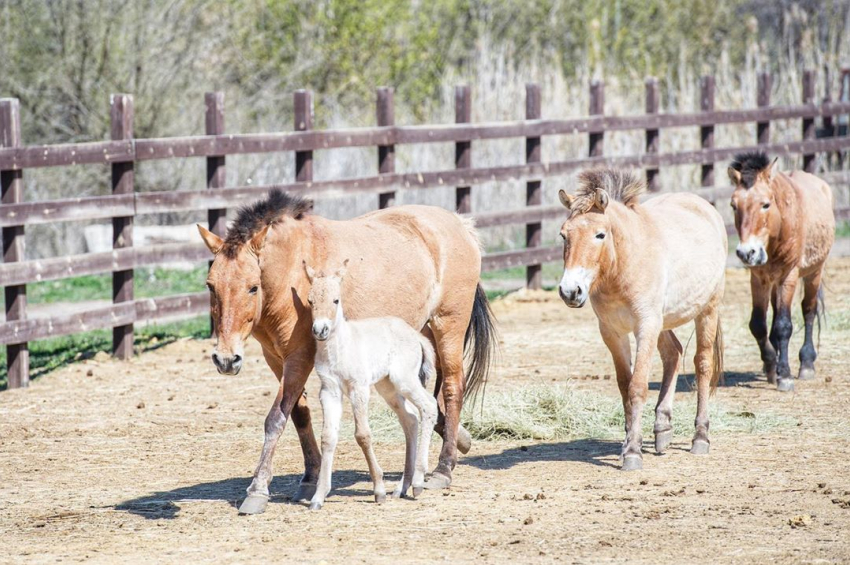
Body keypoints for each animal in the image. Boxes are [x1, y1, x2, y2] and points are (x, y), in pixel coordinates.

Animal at [304, 262, 438, 512]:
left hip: (405, 380)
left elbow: (363, 435)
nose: (320, 330)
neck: (340, 348)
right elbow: (327, 437)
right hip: (388, 387)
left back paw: (417, 482)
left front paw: (379, 489)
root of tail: (416, 335)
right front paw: (318, 496)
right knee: (410, 418)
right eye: (310, 300)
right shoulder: (329, 391)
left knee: (429, 406)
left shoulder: (359, 388)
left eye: (336, 300)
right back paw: (402, 486)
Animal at [552, 169, 724, 472]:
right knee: (673, 353)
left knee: (702, 364)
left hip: (707, 310)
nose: (570, 291)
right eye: (564, 235)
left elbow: (638, 387)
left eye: (600, 234)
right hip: (663, 322)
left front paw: (632, 452)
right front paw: (628, 444)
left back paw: (700, 437)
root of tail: (704, 206)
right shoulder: (612, 332)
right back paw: (662, 428)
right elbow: (624, 386)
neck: (623, 264)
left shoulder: (645, 326)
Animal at [724, 154, 832, 392]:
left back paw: (806, 363)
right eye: (734, 205)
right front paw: (771, 365)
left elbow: (784, 325)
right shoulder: (759, 278)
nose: (746, 252)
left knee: (809, 311)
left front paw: (784, 376)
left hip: (814, 272)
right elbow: (758, 324)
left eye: (765, 204)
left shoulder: (788, 275)